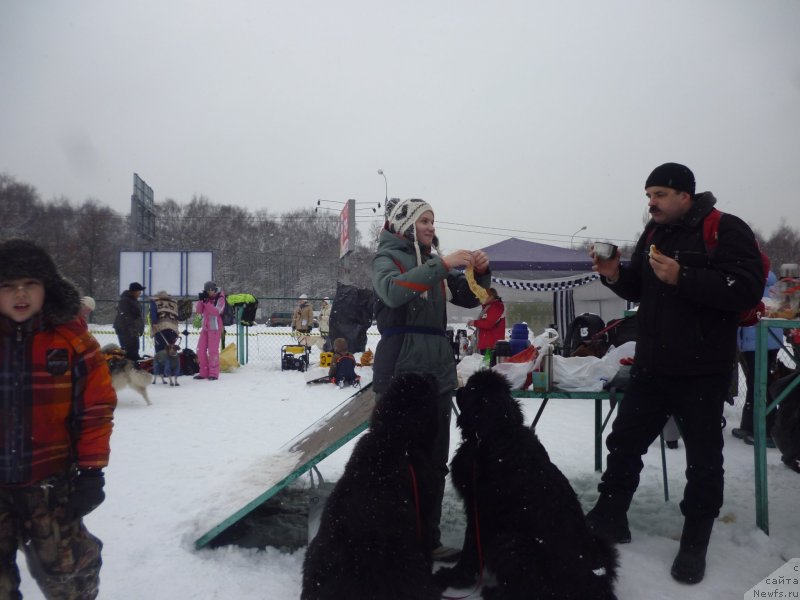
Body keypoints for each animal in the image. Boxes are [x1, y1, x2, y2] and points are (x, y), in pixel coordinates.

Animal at [438, 370, 620, 600]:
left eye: (471, 387)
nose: (459, 389)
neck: (497, 432)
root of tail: (593, 586)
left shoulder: (479, 510)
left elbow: (470, 548)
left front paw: (453, 577)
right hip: (598, 542)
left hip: (508, 542)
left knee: (532, 589)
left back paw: (494, 592)